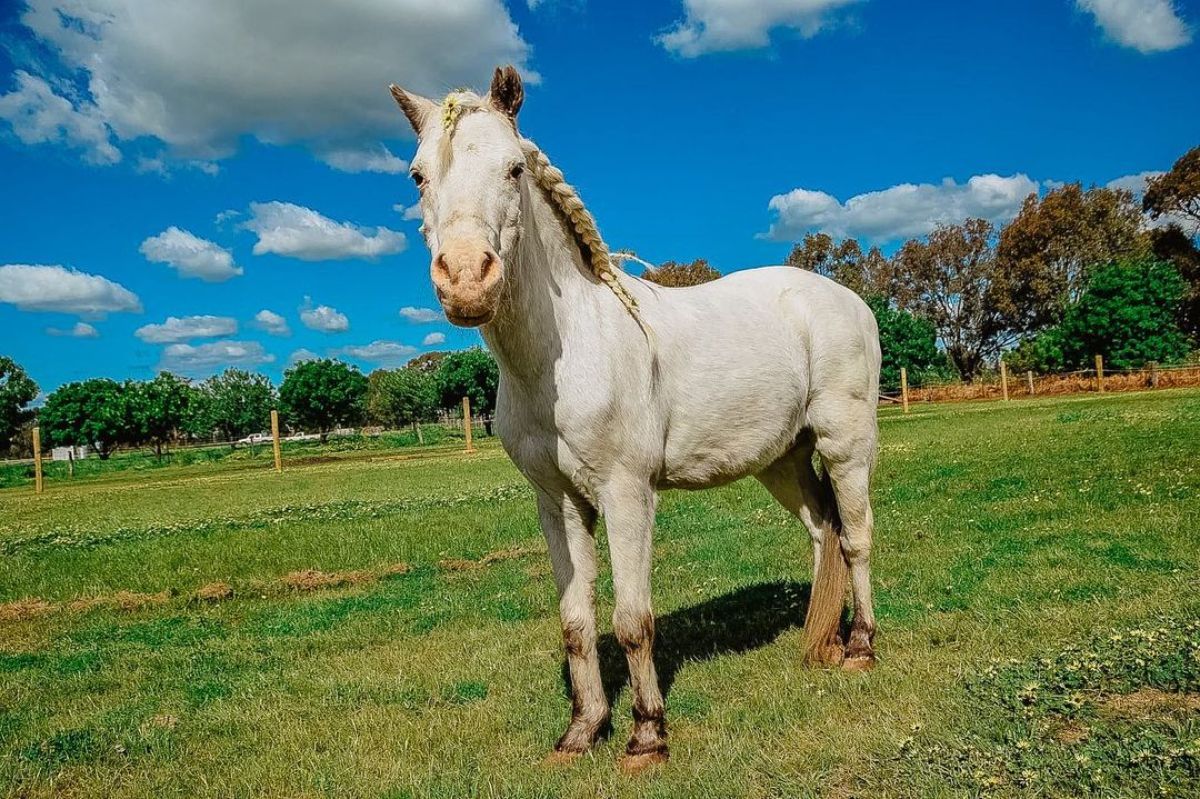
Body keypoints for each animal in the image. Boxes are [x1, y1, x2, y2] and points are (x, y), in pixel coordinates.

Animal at [391, 68, 883, 767]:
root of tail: (847, 299)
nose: (466, 280)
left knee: (857, 536)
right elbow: (576, 623)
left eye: (514, 168)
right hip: (783, 460)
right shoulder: (559, 502)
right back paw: (823, 645)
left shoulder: (627, 494)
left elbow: (631, 620)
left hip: (846, 446)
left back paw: (862, 646)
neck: (568, 351)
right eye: (417, 175)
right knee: (824, 533)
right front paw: (582, 730)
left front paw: (647, 735)